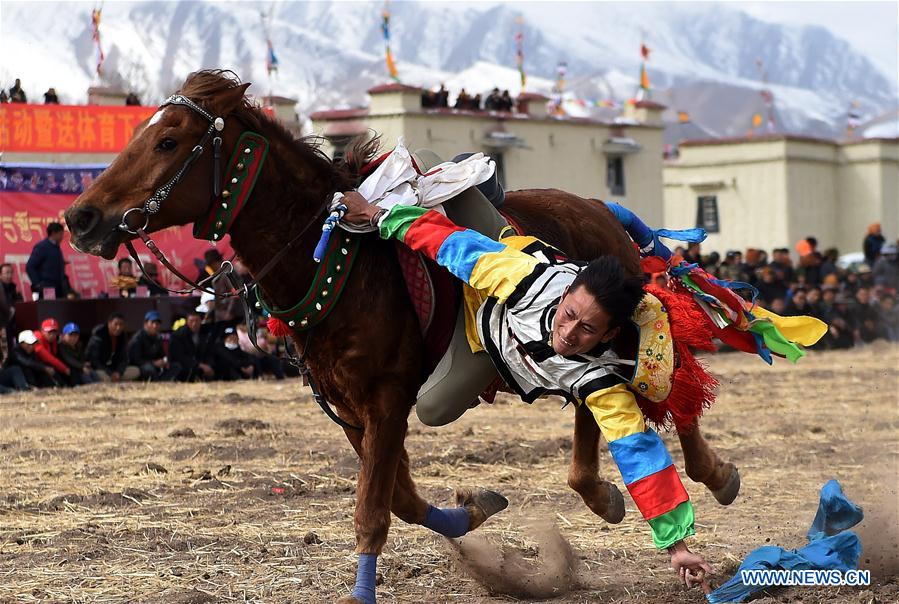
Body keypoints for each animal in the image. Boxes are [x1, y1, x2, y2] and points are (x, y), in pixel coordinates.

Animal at [65, 69, 740, 600]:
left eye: (168, 140)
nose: (82, 218)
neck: (335, 257)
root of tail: (598, 208)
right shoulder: (349, 409)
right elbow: (402, 499)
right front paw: (473, 511)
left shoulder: (387, 398)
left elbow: (373, 511)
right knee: (592, 410)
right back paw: (605, 492)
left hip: (618, 323)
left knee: (666, 382)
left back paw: (711, 472)